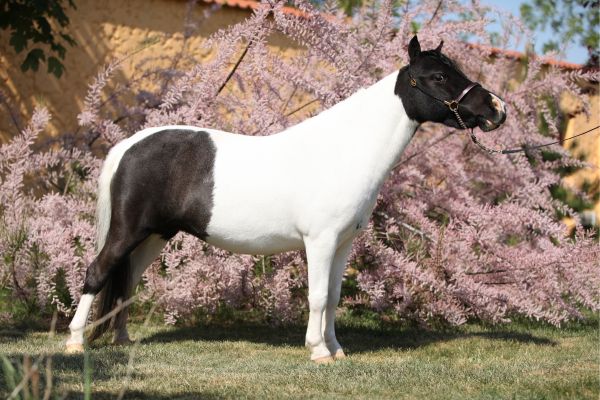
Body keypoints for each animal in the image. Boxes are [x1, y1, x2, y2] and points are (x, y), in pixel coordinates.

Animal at [65, 36, 506, 362]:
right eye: (438, 76)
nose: (496, 108)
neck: (344, 150)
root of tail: (130, 144)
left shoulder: (343, 244)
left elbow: (334, 296)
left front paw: (337, 349)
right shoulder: (320, 241)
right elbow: (317, 295)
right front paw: (318, 351)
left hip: (154, 237)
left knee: (126, 282)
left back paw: (122, 340)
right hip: (127, 231)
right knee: (97, 272)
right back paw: (74, 341)